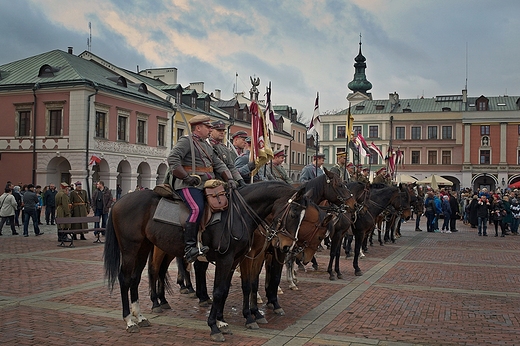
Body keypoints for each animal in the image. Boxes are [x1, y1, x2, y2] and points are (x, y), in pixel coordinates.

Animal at [102, 180, 312, 342]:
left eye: (304, 217)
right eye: (294, 213)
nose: (287, 246)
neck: (239, 214)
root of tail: (119, 201)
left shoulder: (235, 260)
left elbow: (225, 290)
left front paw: (222, 321)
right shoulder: (226, 259)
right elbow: (219, 291)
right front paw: (215, 326)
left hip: (143, 247)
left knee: (136, 278)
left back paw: (140, 316)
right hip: (130, 248)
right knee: (126, 279)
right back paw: (129, 320)